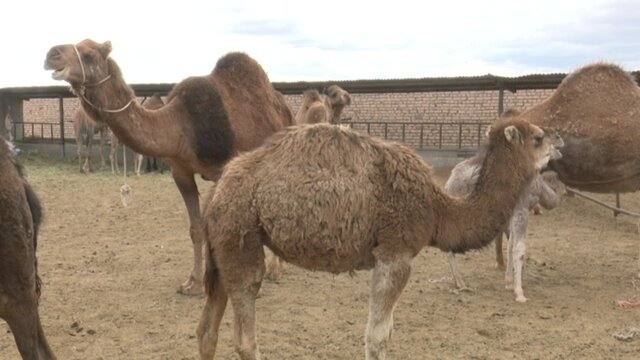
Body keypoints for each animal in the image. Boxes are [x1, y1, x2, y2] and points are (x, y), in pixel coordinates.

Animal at [43, 39, 294, 294]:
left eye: (89, 55)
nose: (51, 55)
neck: (181, 124)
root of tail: (285, 110)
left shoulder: (223, 171)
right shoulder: (180, 172)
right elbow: (196, 228)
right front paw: (194, 282)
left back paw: (276, 269)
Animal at [444, 122, 564, 302]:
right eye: (540, 136)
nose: (559, 137)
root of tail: (450, 181)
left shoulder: (511, 215)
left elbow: (511, 244)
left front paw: (509, 282)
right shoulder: (521, 210)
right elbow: (519, 248)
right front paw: (519, 291)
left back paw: (459, 282)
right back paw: (461, 282)